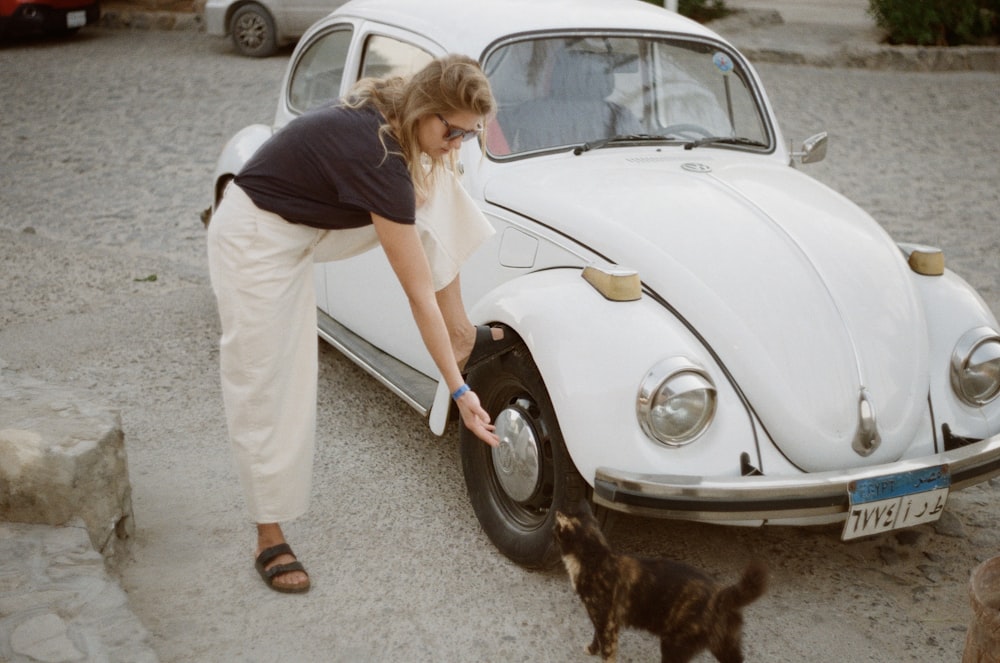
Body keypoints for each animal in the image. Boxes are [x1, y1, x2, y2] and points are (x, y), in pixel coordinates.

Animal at [556, 504, 764, 663]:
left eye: (555, 529)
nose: (552, 528)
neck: (596, 559)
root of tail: (721, 594)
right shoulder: (602, 620)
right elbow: (596, 636)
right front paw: (592, 649)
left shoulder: (606, 621)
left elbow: (607, 651)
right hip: (725, 645)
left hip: (674, 644)